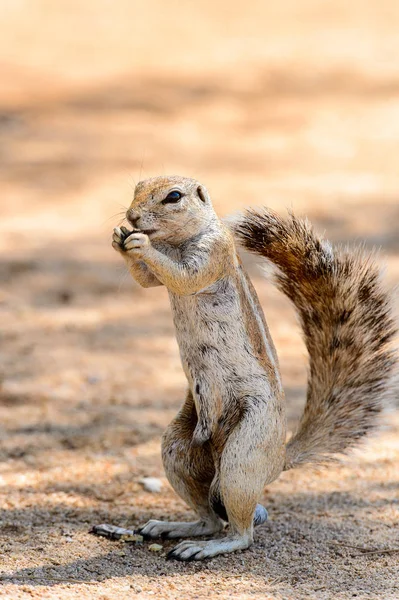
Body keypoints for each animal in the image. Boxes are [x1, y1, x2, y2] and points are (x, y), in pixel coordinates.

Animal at [104, 176, 396, 560]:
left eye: (173, 197)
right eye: (137, 186)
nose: (133, 216)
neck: (176, 241)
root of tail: (277, 460)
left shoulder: (213, 254)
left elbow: (183, 276)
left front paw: (138, 243)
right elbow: (147, 280)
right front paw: (118, 238)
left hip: (244, 453)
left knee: (241, 532)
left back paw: (207, 547)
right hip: (179, 449)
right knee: (209, 518)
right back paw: (173, 528)